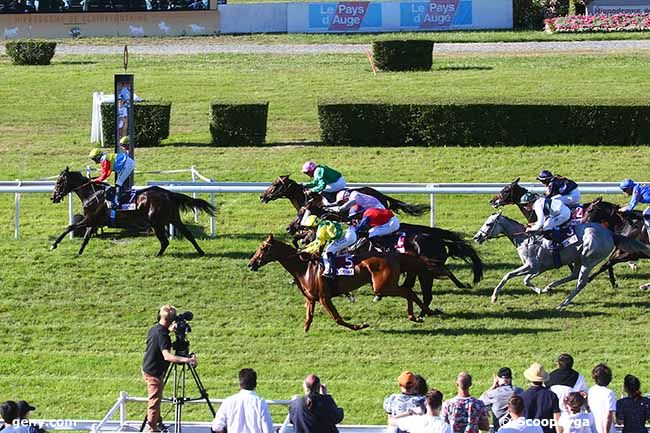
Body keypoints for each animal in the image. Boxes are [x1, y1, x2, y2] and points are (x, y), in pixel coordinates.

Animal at [49, 167, 215, 255]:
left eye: (59, 182)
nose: (53, 197)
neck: (91, 194)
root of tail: (168, 193)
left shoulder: (89, 219)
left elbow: (69, 227)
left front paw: (54, 244)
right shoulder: (93, 221)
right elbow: (86, 238)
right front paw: (79, 253)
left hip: (156, 221)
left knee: (165, 241)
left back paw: (158, 255)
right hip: (173, 218)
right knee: (187, 234)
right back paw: (200, 252)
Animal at [247, 233, 440, 330]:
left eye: (263, 248)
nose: (251, 264)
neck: (304, 268)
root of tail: (394, 254)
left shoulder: (324, 297)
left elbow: (338, 319)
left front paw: (360, 325)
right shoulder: (311, 298)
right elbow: (308, 319)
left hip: (382, 286)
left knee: (408, 291)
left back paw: (421, 314)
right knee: (409, 291)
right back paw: (420, 314)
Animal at [470, 212, 648, 308]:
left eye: (489, 224)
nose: (477, 237)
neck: (525, 239)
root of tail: (610, 233)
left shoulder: (531, 266)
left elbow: (508, 275)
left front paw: (494, 296)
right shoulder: (537, 268)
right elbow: (526, 280)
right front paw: (541, 290)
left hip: (588, 260)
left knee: (580, 282)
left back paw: (563, 304)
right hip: (579, 258)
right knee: (574, 275)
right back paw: (550, 286)